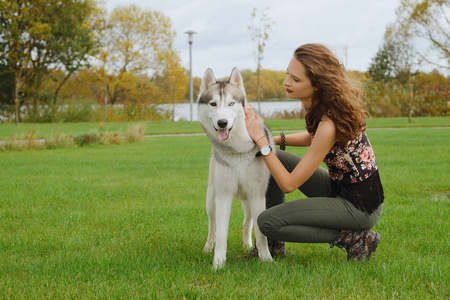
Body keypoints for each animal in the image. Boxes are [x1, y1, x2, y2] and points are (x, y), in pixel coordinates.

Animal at [198, 68, 274, 270]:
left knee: (247, 222)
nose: (222, 122)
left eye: (231, 103)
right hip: (211, 200)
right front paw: (218, 263)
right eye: (213, 104)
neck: (237, 148)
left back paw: (247, 244)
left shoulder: (257, 194)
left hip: (248, 200)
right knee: (212, 226)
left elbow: (261, 234)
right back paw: (207, 248)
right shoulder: (223, 196)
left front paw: (267, 259)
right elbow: (221, 234)